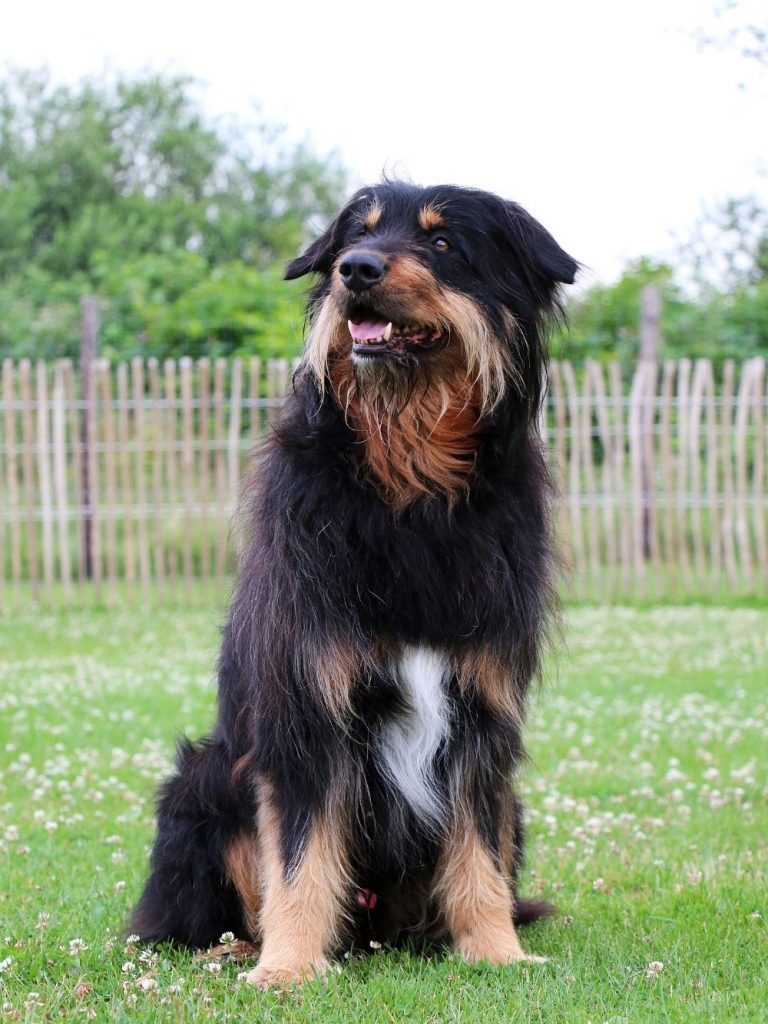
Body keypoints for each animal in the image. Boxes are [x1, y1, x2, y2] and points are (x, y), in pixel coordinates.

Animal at [131, 180, 577, 987]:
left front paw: (496, 951)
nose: (356, 270)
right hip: (202, 782)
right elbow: (299, 856)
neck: (409, 480)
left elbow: (480, 851)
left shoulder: (482, 712)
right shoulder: (305, 708)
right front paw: (286, 969)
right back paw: (239, 947)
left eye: (442, 242)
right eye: (356, 236)